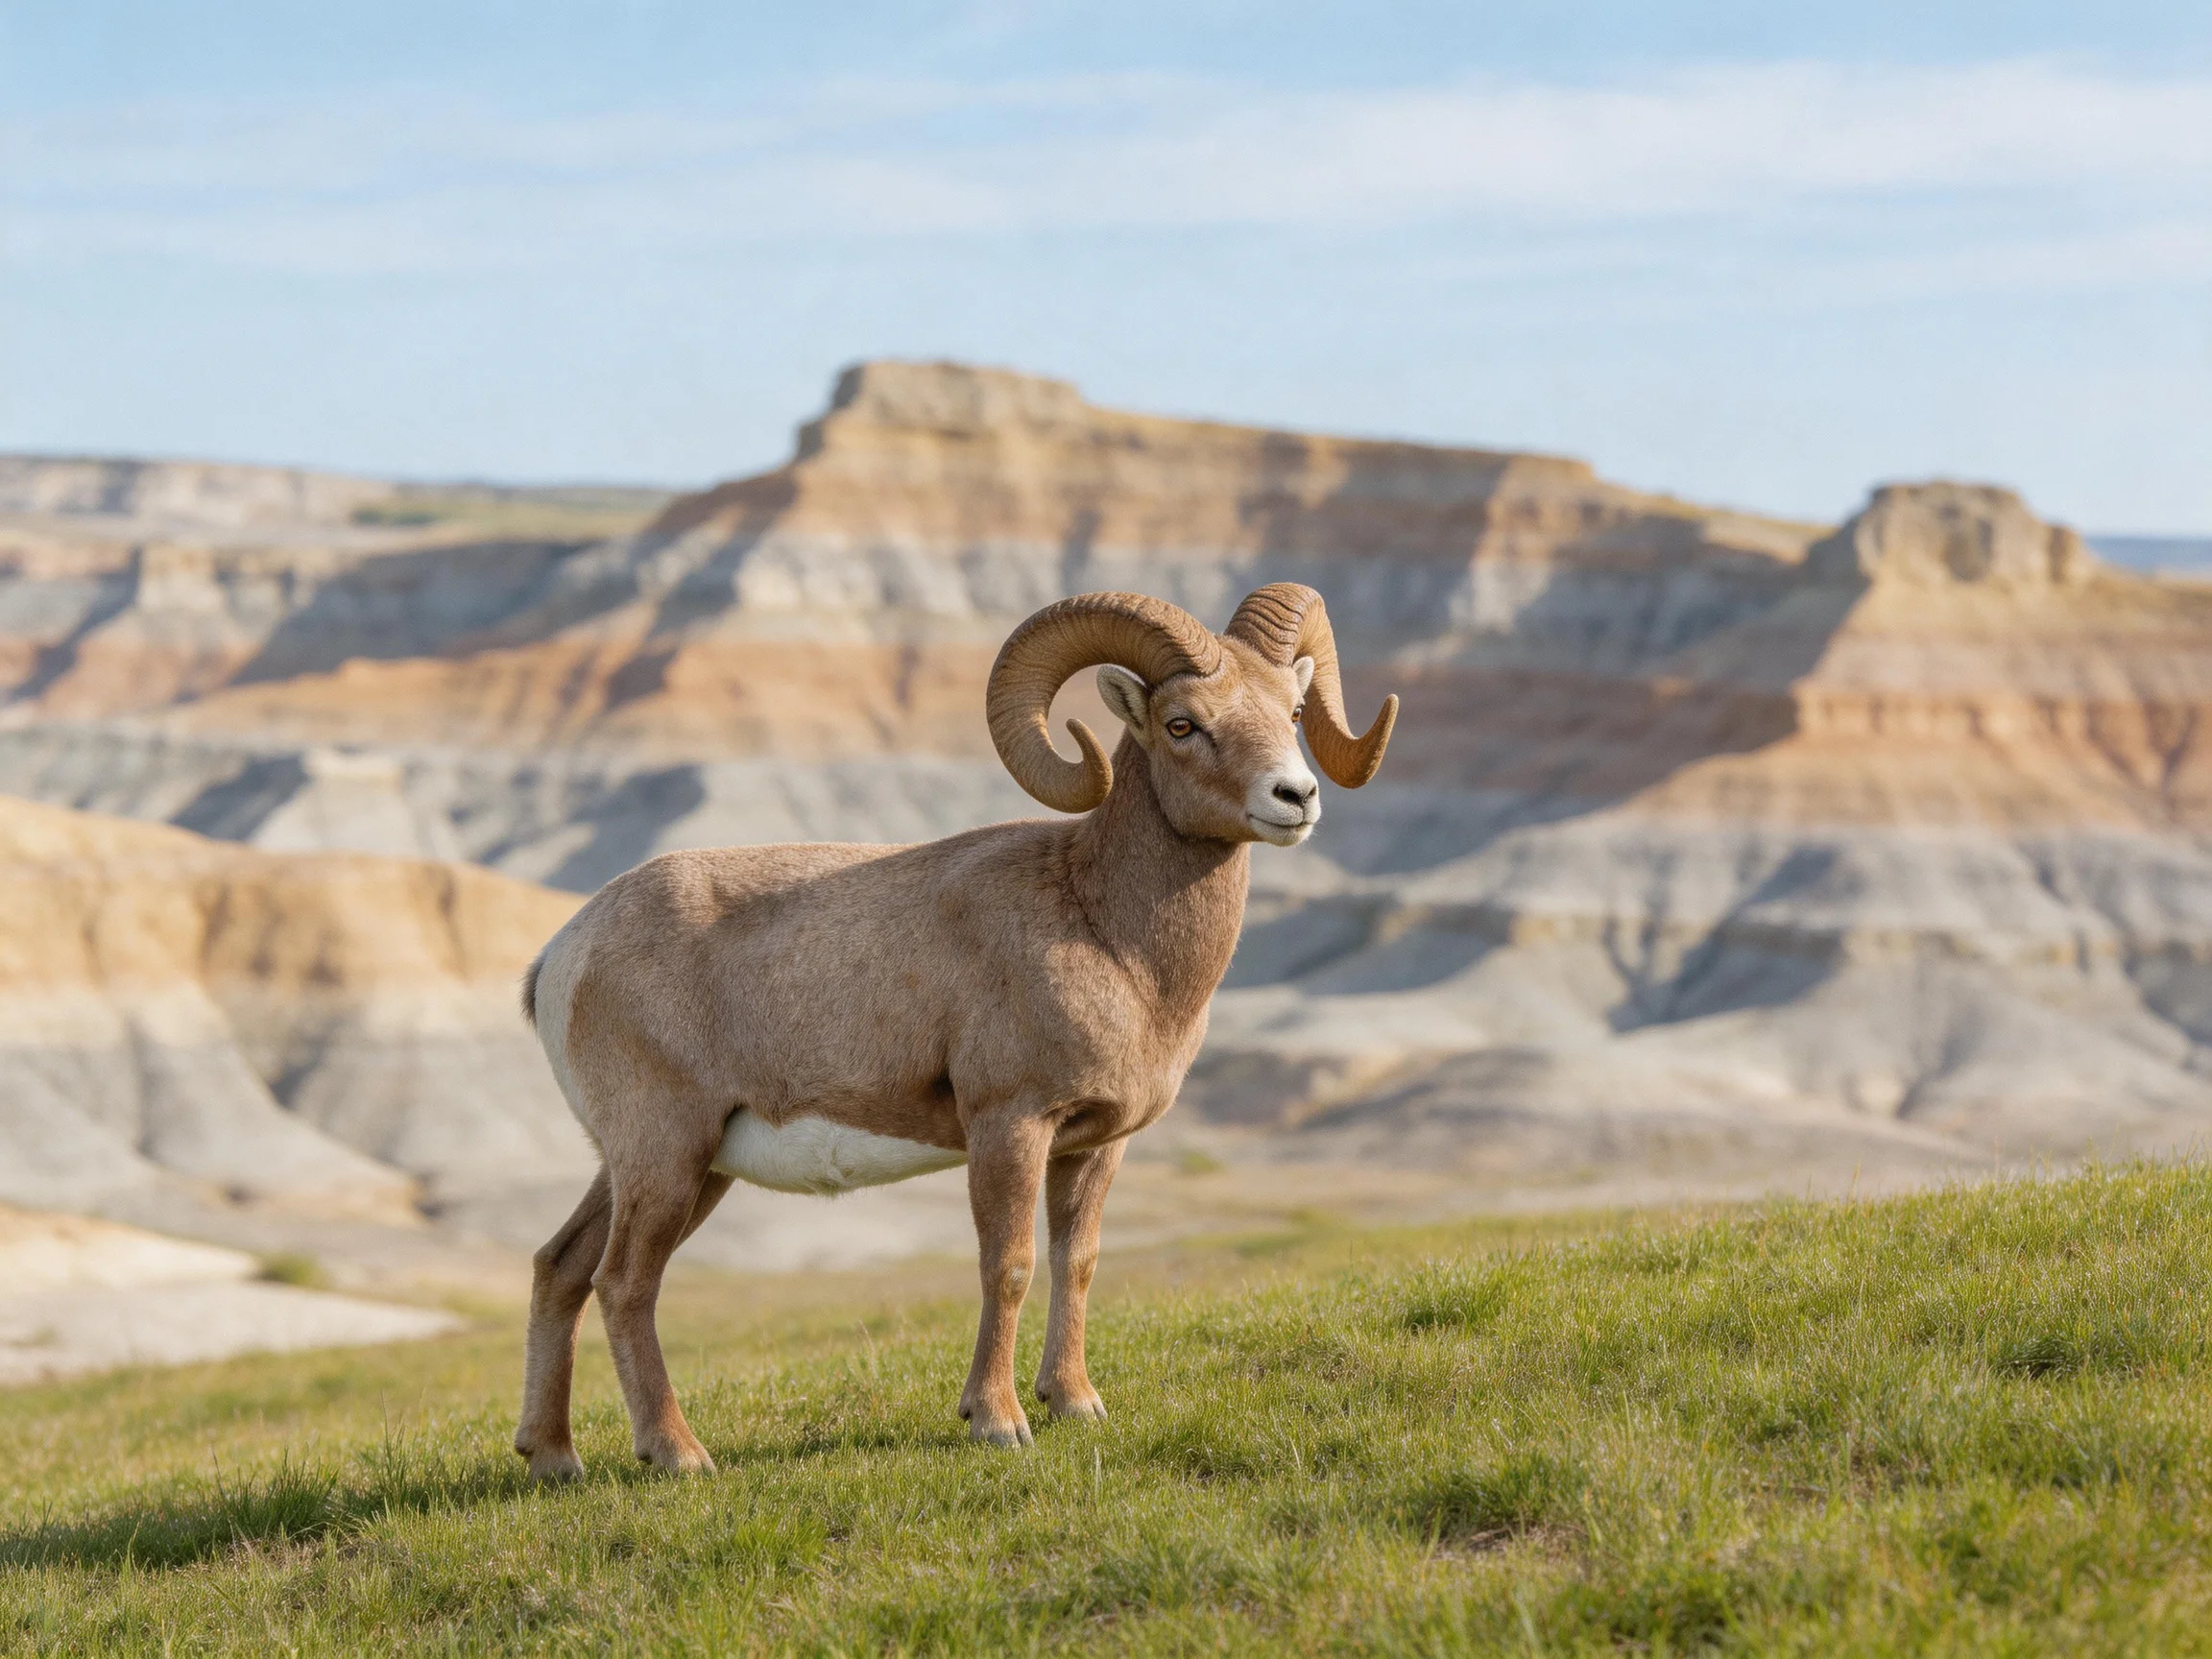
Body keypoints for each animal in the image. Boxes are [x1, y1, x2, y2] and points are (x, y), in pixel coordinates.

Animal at [512, 583, 1398, 1473]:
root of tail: (561, 956)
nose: (1295, 798)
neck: (1110, 934)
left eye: (1291, 711)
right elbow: (1008, 1265)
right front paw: (998, 1420)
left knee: (561, 1267)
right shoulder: (1010, 1125)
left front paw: (1076, 1404)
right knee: (625, 1282)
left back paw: (553, 1458)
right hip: (668, 1155)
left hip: (655, 1167)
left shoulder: (1093, 1145)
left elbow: (1076, 1261)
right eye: (1183, 724)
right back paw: (678, 1453)